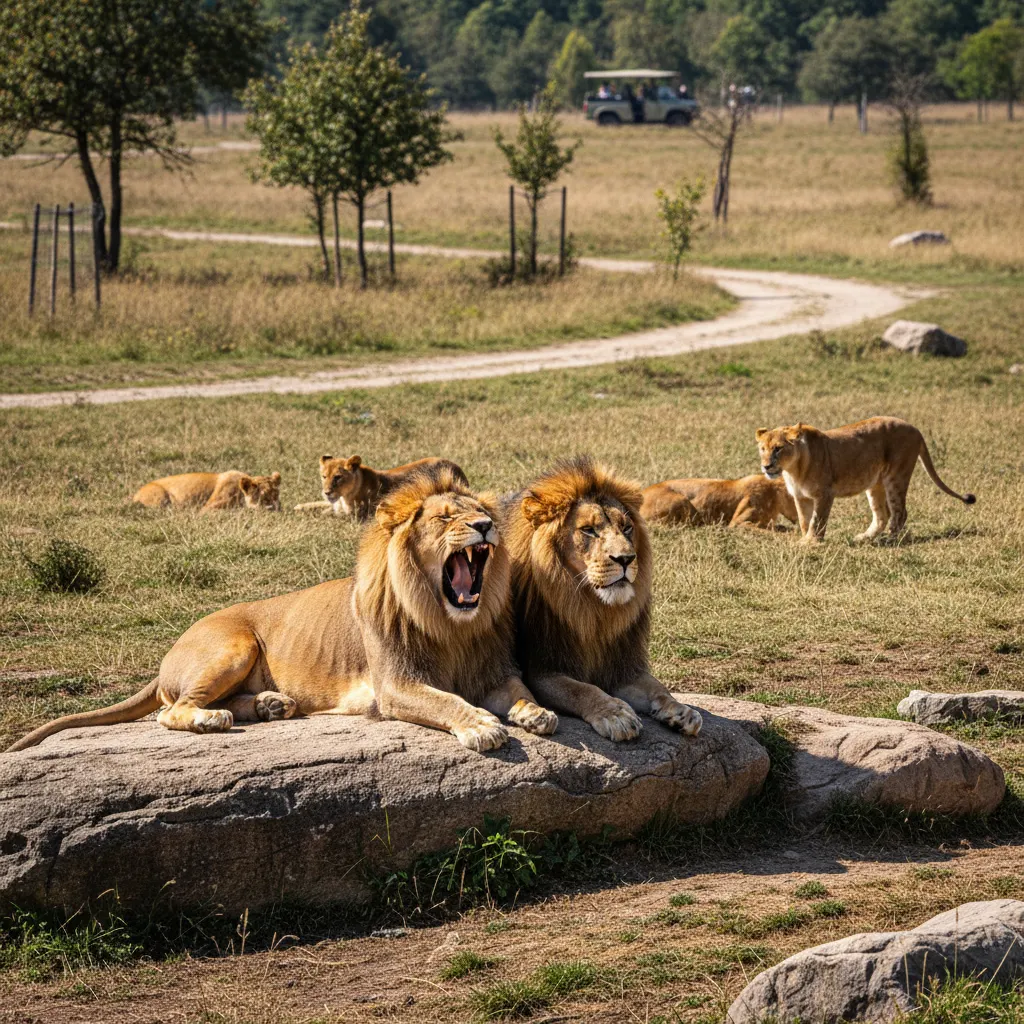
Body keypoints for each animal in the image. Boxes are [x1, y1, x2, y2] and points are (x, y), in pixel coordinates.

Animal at [132, 471, 281, 511]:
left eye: (277, 495)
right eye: (263, 497)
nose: (276, 510)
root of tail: (135, 494)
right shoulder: (207, 509)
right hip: (160, 498)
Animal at [294, 454, 468, 519]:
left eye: (338, 477)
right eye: (324, 476)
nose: (327, 492)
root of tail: (458, 468)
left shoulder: (355, 514)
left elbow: (327, 513)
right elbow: (317, 504)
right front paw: (298, 507)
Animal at [503, 457, 702, 743]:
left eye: (627, 527)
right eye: (588, 530)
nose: (626, 559)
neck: (594, 610)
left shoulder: (620, 668)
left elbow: (657, 687)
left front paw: (681, 711)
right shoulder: (542, 672)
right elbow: (583, 690)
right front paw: (615, 714)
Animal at [755, 416, 976, 543]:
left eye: (778, 448)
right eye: (763, 449)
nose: (766, 466)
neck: (794, 469)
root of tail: (915, 429)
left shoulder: (825, 494)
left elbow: (817, 520)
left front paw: (811, 543)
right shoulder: (800, 497)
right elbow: (804, 520)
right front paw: (806, 539)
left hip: (896, 477)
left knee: (900, 512)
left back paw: (889, 540)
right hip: (875, 484)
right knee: (882, 515)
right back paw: (864, 538)